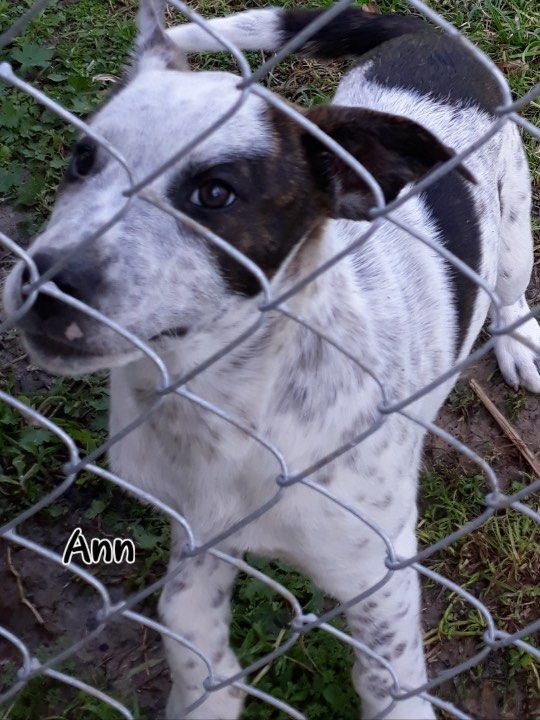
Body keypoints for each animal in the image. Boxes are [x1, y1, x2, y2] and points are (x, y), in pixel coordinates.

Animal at [2, 1, 536, 720]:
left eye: (216, 194)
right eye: (82, 159)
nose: (44, 282)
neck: (222, 397)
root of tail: (427, 34)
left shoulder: (380, 572)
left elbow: (388, 682)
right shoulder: (197, 533)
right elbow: (184, 624)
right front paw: (207, 693)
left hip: (512, 232)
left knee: (509, 288)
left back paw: (517, 337)